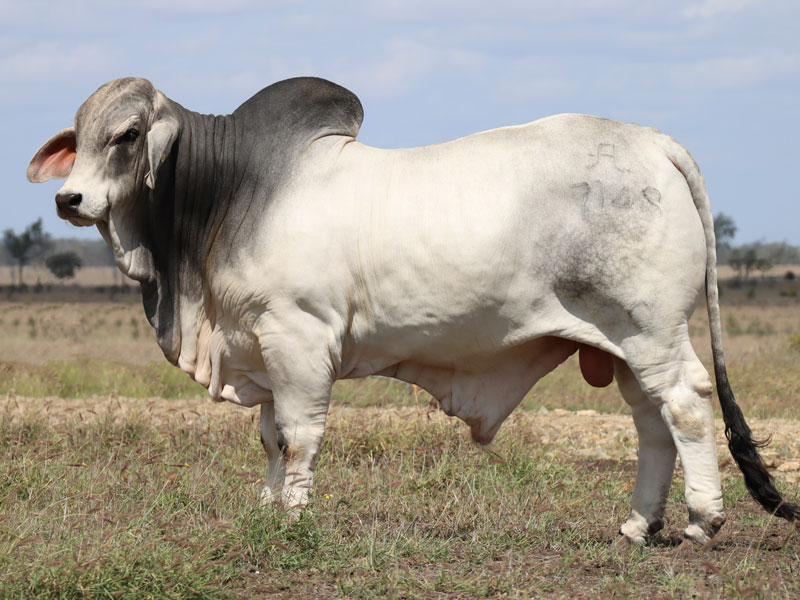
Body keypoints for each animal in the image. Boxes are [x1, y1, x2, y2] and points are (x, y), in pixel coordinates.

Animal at [27, 77, 798, 545]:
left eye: (128, 135)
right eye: (80, 133)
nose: (68, 199)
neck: (229, 195)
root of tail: (652, 141)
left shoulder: (300, 339)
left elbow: (300, 438)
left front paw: (297, 517)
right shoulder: (264, 348)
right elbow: (270, 439)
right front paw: (270, 508)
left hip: (653, 331)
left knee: (688, 406)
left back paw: (700, 522)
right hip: (620, 344)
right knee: (651, 424)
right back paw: (638, 527)